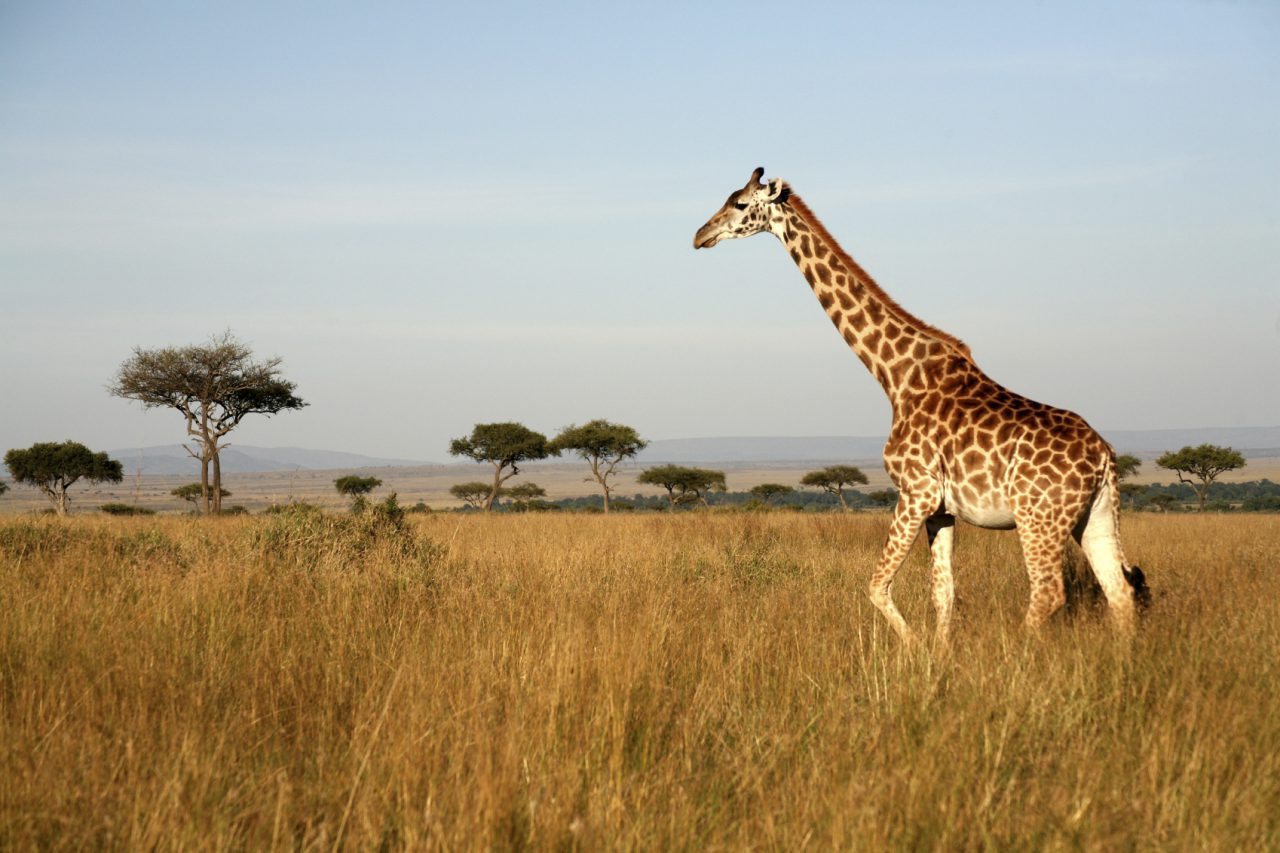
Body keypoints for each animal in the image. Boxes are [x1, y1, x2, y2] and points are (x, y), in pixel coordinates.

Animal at [693, 168, 1149, 646]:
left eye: (741, 203)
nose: (700, 235)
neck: (895, 376)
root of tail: (1104, 457)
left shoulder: (916, 492)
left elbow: (877, 585)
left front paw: (914, 648)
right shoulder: (942, 509)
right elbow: (943, 593)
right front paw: (940, 654)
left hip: (1038, 518)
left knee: (1048, 592)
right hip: (1095, 515)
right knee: (1118, 591)